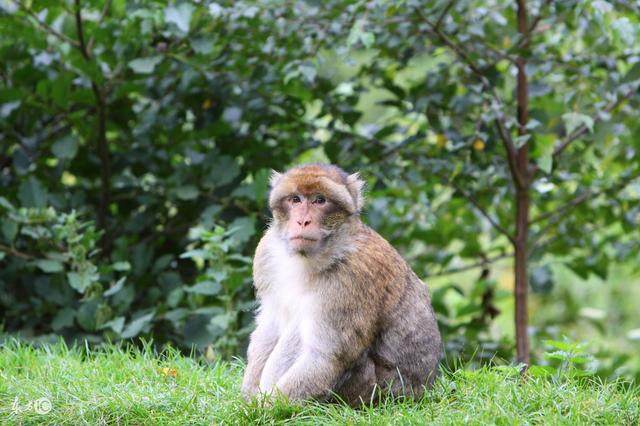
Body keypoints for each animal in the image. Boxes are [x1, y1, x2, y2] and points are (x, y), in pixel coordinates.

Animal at [240, 163, 440, 406]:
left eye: (319, 200)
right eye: (295, 199)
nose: (302, 221)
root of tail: (422, 390)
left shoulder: (352, 277)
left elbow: (326, 357)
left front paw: (261, 410)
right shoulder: (267, 252)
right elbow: (270, 325)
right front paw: (248, 399)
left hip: (371, 391)